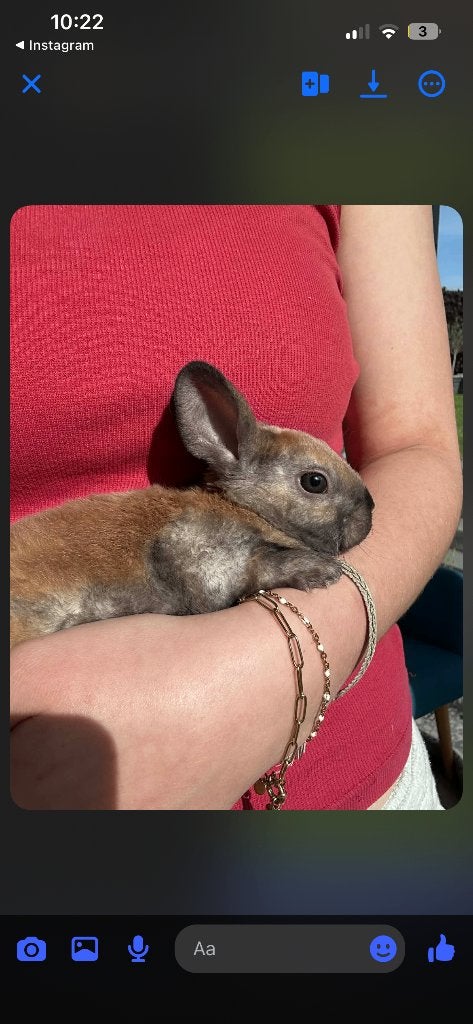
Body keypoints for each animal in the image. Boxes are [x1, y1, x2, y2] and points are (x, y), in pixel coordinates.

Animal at [10, 361, 374, 649]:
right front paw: (318, 571)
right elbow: (256, 569)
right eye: (315, 482)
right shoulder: (194, 553)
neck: (244, 508)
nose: (369, 512)